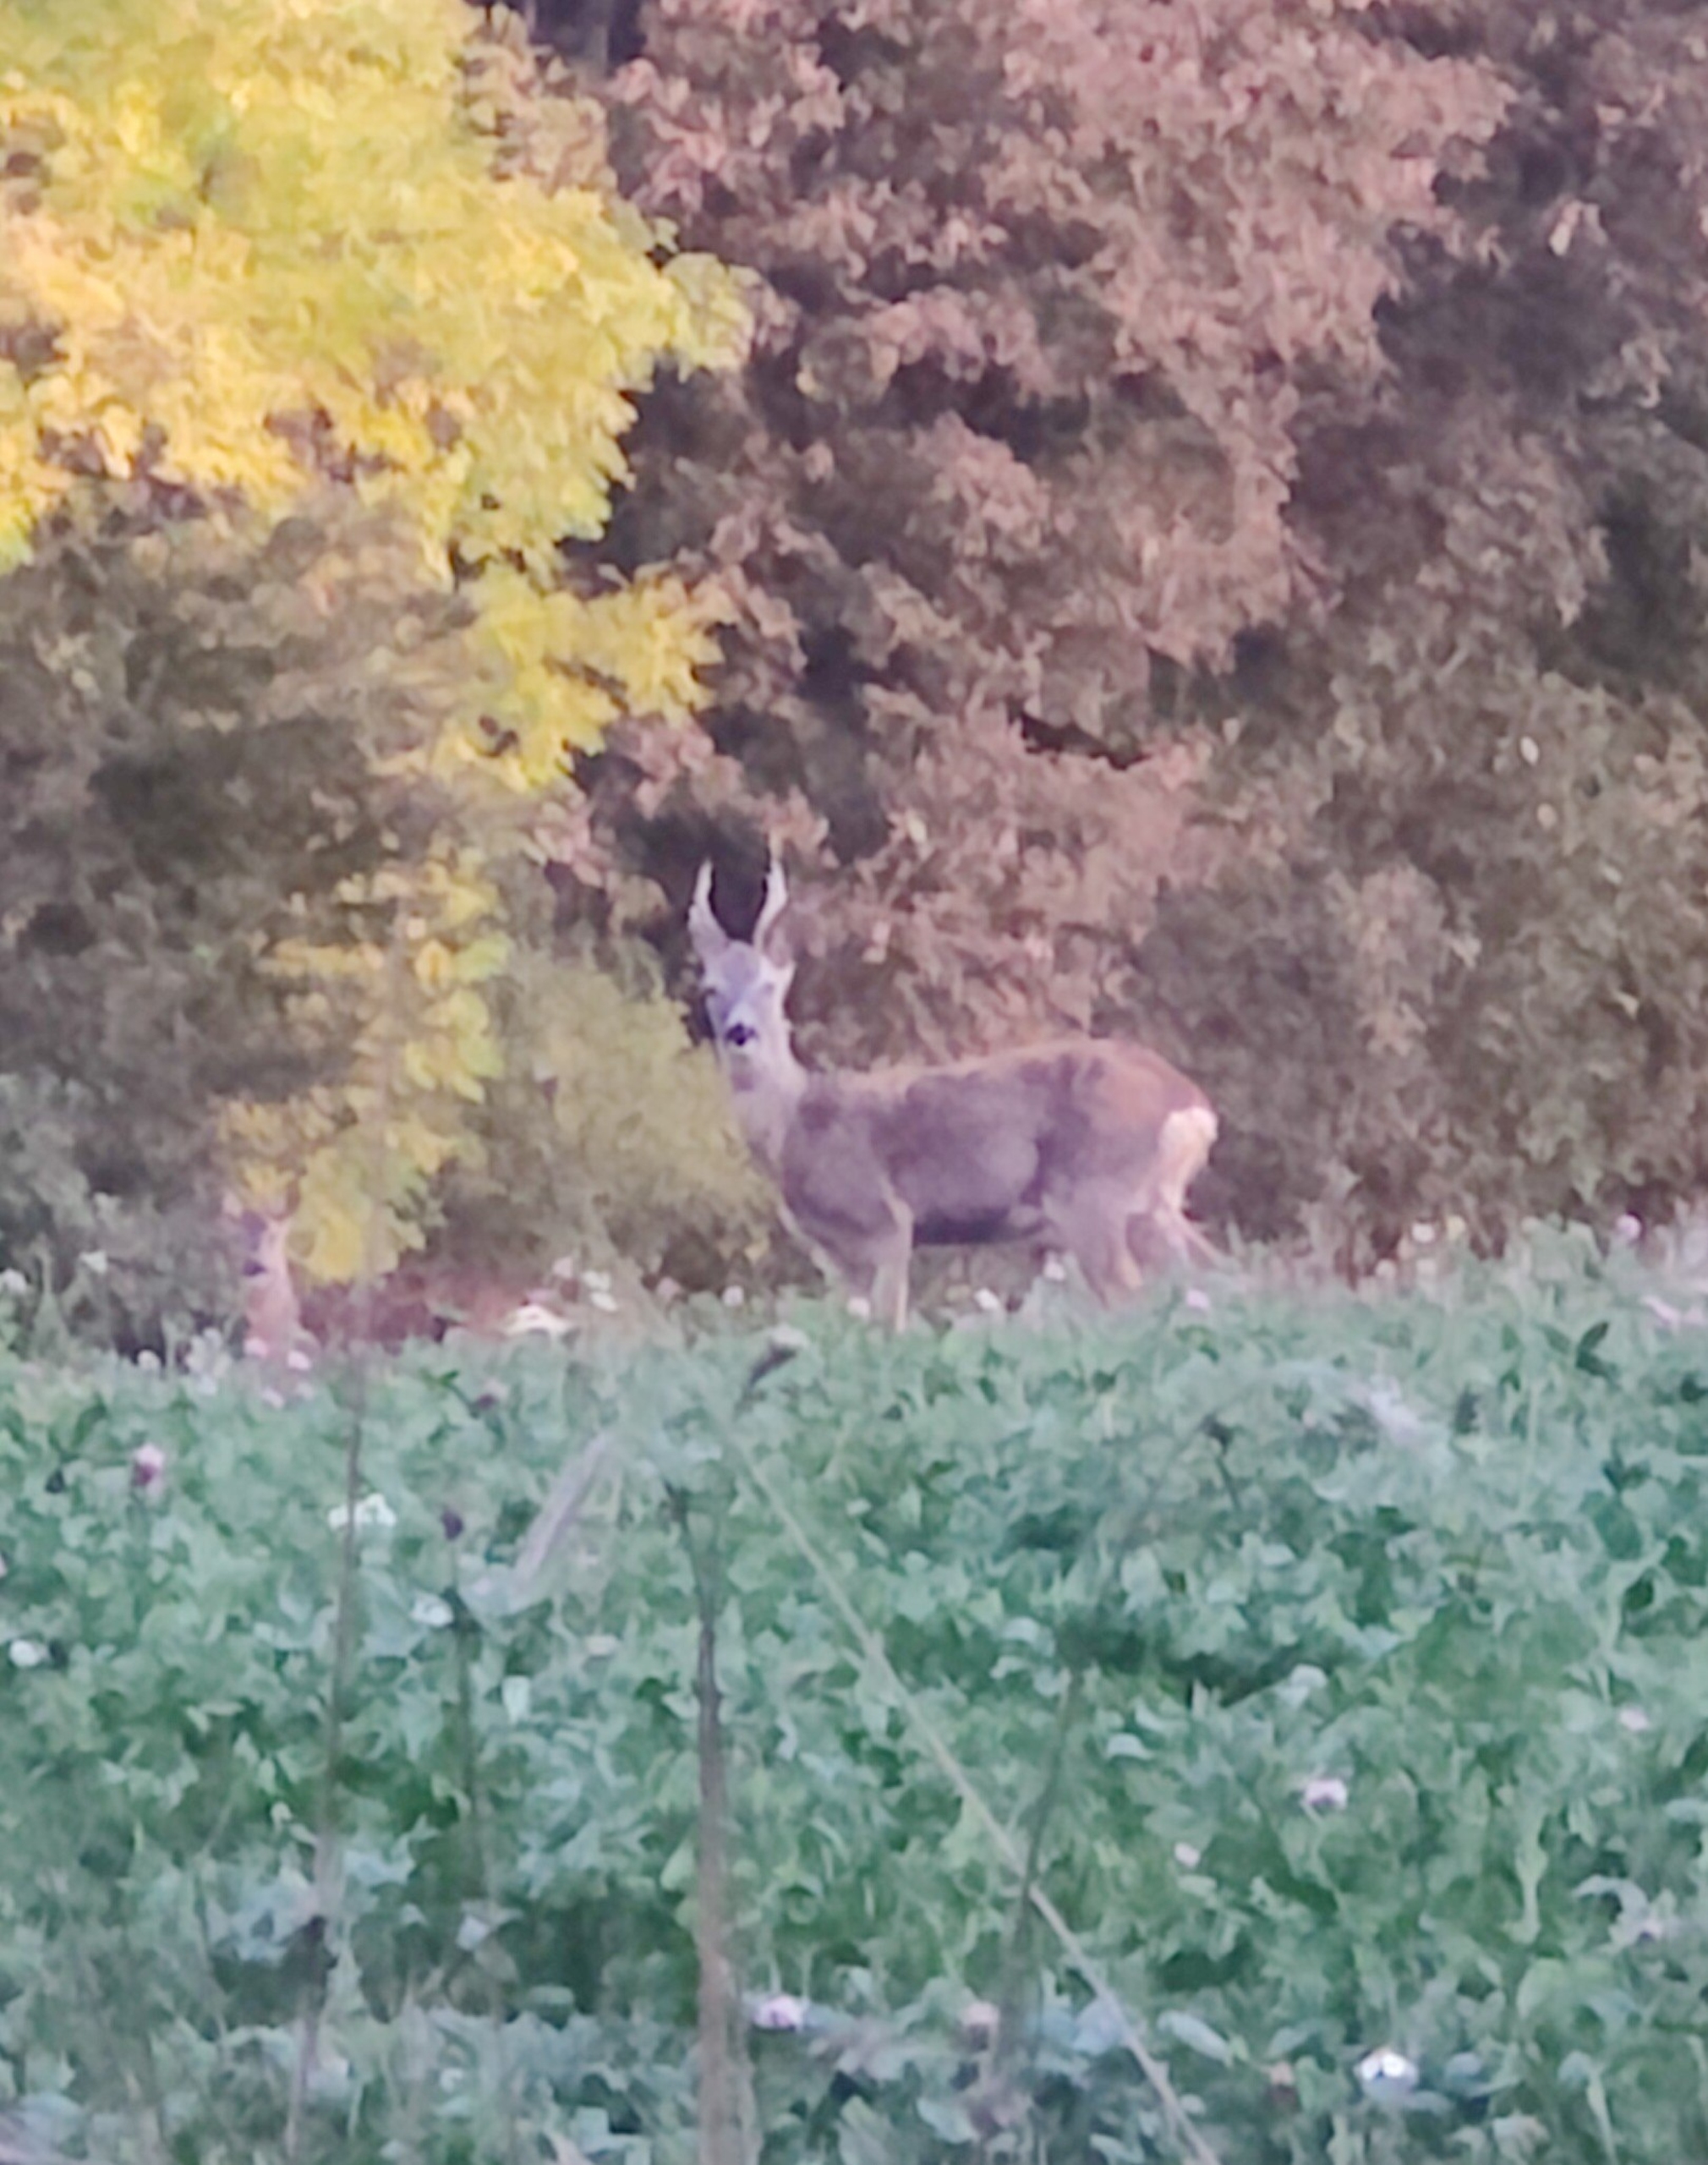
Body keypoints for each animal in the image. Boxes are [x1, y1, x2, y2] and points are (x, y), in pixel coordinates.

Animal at [688, 860, 1218, 1329]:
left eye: (769, 985)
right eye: (710, 989)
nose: (740, 1032)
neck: (794, 1125)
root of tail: (1191, 1103)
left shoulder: (884, 1222)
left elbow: (888, 1327)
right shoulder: (833, 1254)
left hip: (1095, 1196)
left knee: (1133, 1294)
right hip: (1151, 1204)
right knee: (1212, 1271)